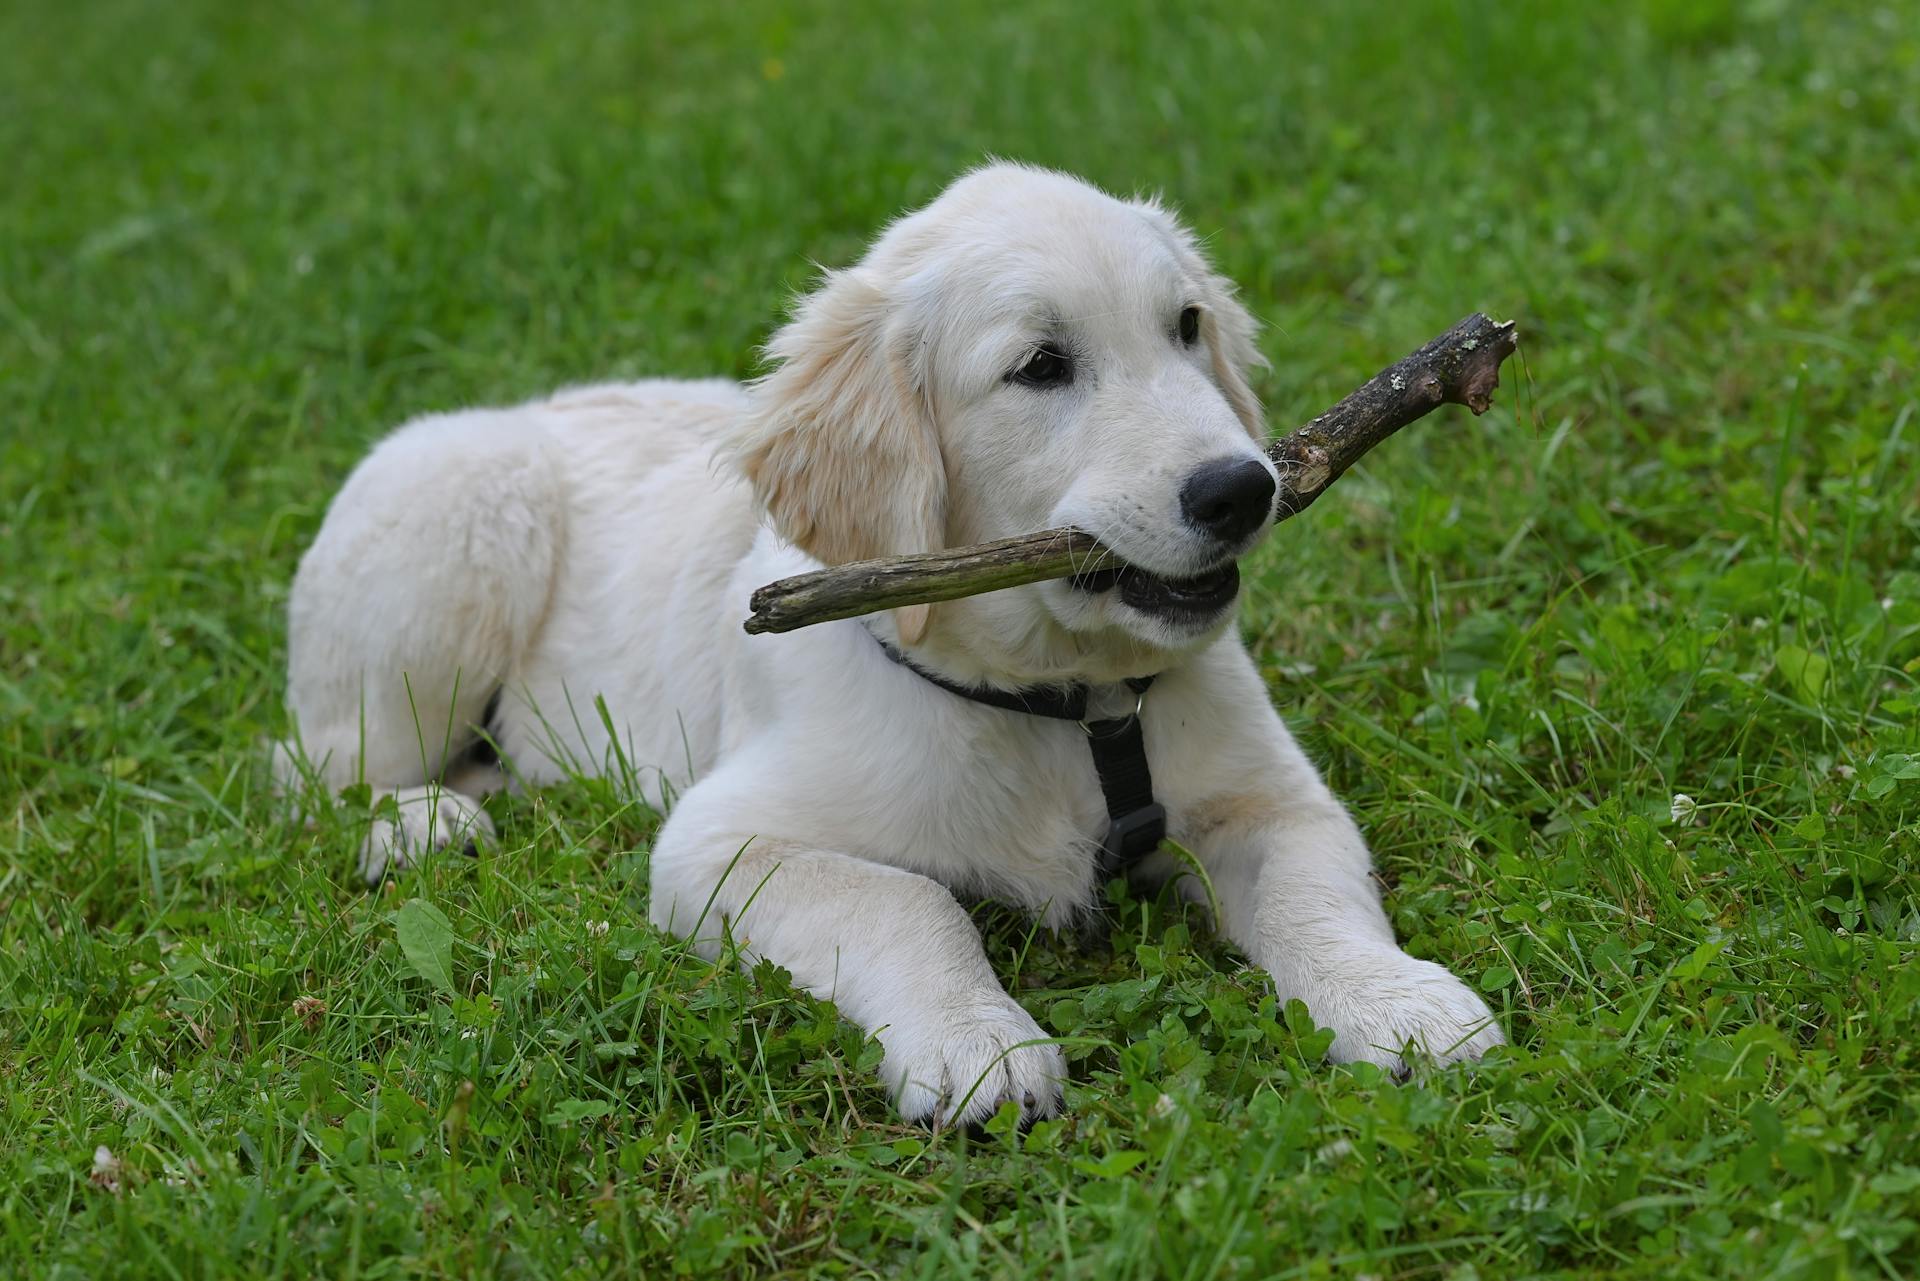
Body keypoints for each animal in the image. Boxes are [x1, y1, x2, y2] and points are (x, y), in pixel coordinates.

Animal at [284, 165, 1505, 1129]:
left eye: (1189, 327)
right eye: (1041, 366)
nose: (1241, 490)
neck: (1065, 701)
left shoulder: (1274, 804)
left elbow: (1312, 896)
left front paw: (1398, 1003)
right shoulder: (718, 845)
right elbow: (908, 902)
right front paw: (979, 1044)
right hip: (455, 528)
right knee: (323, 766)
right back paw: (427, 822)